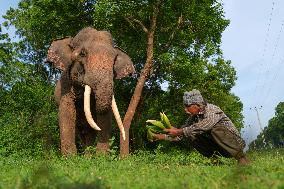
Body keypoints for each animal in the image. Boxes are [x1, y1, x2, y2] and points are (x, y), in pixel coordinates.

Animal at [46, 27, 135, 157]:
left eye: (114, 59)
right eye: (83, 54)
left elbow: (105, 115)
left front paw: (101, 157)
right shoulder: (66, 85)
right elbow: (66, 111)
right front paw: (70, 158)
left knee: (88, 132)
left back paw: (88, 156)